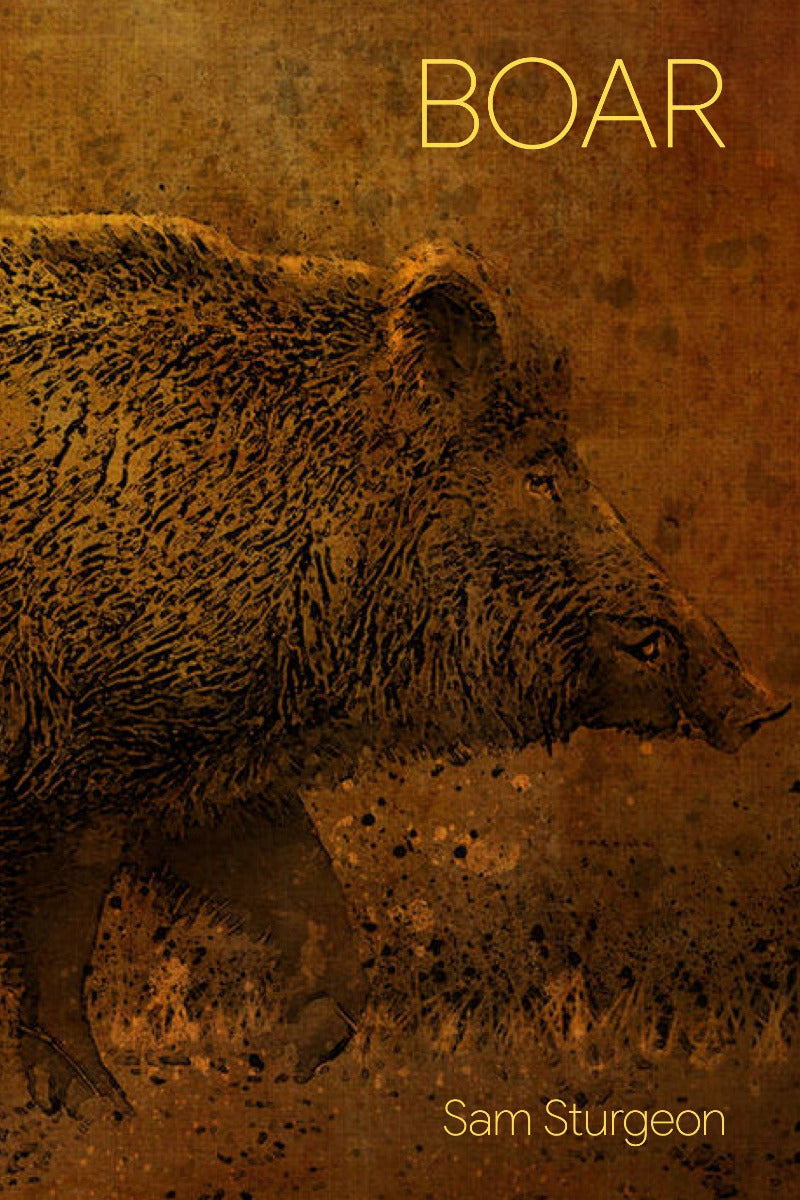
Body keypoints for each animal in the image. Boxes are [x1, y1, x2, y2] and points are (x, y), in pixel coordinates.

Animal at [0, 214, 787, 1116]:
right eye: (540, 473)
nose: (762, 704)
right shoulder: (82, 765)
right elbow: (61, 954)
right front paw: (105, 1110)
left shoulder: (202, 782)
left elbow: (321, 916)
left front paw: (272, 1066)